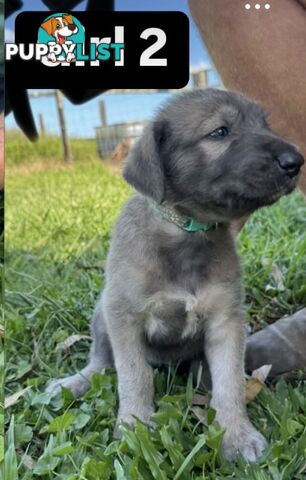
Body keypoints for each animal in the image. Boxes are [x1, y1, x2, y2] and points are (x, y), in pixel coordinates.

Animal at [47, 89, 304, 462]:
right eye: (220, 132)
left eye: (264, 124)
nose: (295, 161)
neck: (186, 233)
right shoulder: (123, 316)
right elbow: (134, 375)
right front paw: (135, 426)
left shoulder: (226, 321)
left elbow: (230, 383)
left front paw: (236, 434)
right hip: (102, 312)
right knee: (100, 361)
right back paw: (73, 382)